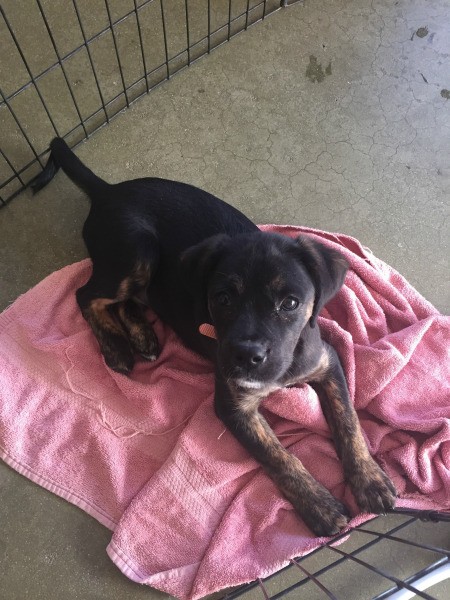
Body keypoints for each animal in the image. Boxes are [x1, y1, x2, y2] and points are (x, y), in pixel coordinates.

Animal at [32, 138, 398, 536]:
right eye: (222, 299)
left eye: (291, 303)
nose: (246, 356)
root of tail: (108, 190)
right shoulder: (233, 404)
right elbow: (277, 455)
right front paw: (319, 506)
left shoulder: (327, 362)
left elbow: (348, 422)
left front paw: (370, 480)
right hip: (137, 250)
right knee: (86, 295)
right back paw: (116, 347)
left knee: (126, 299)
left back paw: (143, 336)